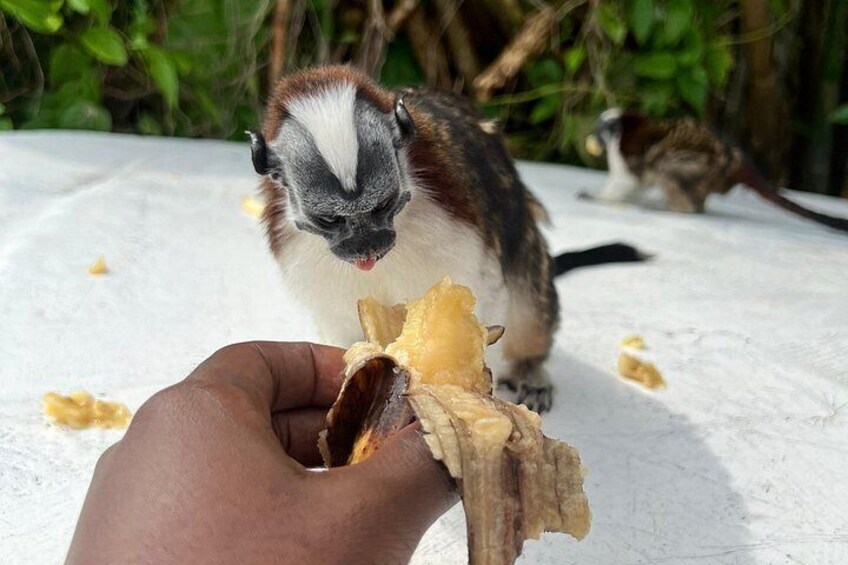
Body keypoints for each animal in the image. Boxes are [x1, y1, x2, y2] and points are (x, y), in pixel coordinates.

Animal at [248, 66, 645, 412]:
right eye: (330, 220)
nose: (366, 249)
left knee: (528, 292)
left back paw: (529, 366)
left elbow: (482, 301)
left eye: (382, 206)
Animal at [582, 108, 848, 233]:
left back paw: (681, 209)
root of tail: (735, 159)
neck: (623, 127)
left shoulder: (623, 153)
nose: (594, 137)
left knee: (668, 163)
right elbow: (639, 182)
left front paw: (598, 198)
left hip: (705, 166)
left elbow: (628, 180)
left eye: (599, 130)